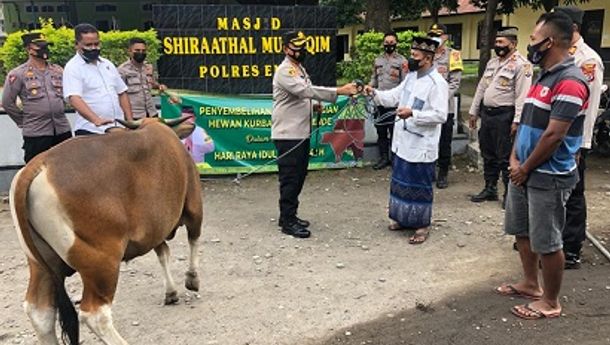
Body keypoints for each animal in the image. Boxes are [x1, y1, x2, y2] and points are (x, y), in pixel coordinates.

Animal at [8, 117, 202, 342]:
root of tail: (38, 165)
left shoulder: (154, 229)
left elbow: (163, 253)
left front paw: (171, 293)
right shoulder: (194, 206)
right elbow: (193, 240)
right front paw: (192, 279)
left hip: (40, 263)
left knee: (39, 311)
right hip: (102, 262)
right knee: (95, 314)